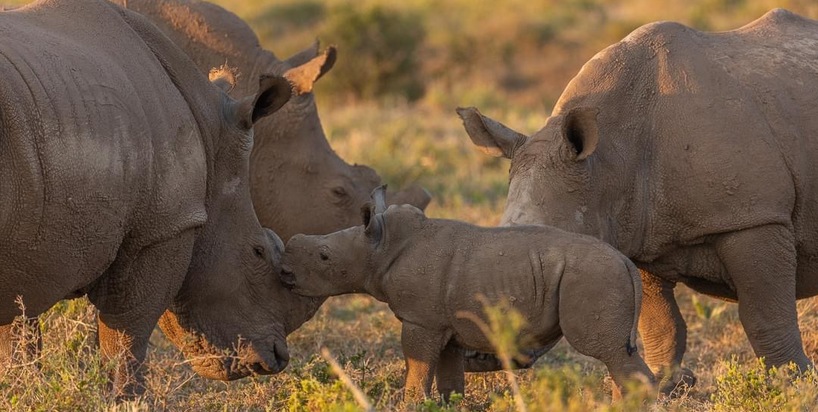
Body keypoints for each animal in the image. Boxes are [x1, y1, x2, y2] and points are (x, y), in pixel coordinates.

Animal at [0, 0, 294, 400]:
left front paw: (23, 392)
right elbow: (128, 332)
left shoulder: (26, 250)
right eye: (258, 252)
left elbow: (17, 335)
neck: (210, 138)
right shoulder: (164, 227)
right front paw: (127, 400)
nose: (277, 357)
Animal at [278, 187, 652, 402]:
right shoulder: (444, 324)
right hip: (599, 275)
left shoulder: (421, 321)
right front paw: (448, 405)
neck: (379, 247)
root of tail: (627, 262)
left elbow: (417, 368)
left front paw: (410, 404)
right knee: (616, 355)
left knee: (606, 350)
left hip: (593, 276)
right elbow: (448, 378)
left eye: (324, 257)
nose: (285, 273)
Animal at [460, 8, 816, 390]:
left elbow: (765, 312)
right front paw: (668, 385)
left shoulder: (753, 215)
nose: (480, 352)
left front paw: (792, 381)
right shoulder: (634, 229)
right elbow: (658, 320)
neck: (605, 164)